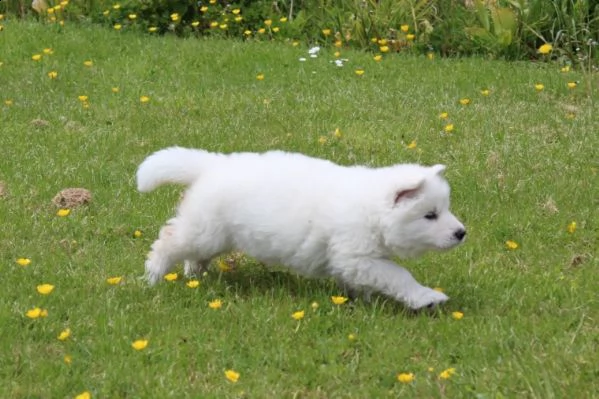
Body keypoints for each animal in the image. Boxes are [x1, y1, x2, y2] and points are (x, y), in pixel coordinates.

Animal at [138, 148, 466, 310]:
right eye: (430, 215)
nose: (461, 233)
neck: (370, 209)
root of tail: (212, 166)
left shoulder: (354, 261)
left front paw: (361, 300)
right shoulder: (357, 256)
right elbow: (399, 274)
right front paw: (426, 298)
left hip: (212, 234)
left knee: (194, 255)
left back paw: (196, 277)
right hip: (204, 230)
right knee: (168, 241)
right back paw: (153, 276)